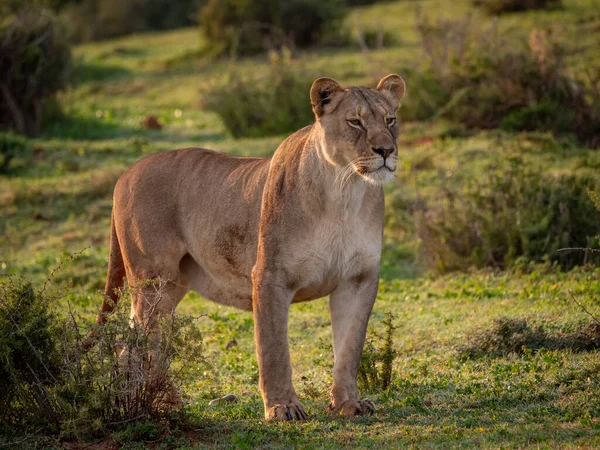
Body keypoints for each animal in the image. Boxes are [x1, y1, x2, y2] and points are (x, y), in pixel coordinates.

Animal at [94, 73, 406, 418]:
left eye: (390, 120)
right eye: (355, 122)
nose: (386, 150)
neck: (344, 192)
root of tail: (126, 173)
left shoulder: (358, 279)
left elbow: (349, 350)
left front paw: (348, 403)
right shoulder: (270, 277)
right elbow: (273, 349)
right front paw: (284, 408)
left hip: (173, 284)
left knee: (134, 340)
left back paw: (145, 401)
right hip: (152, 280)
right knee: (145, 339)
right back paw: (154, 403)